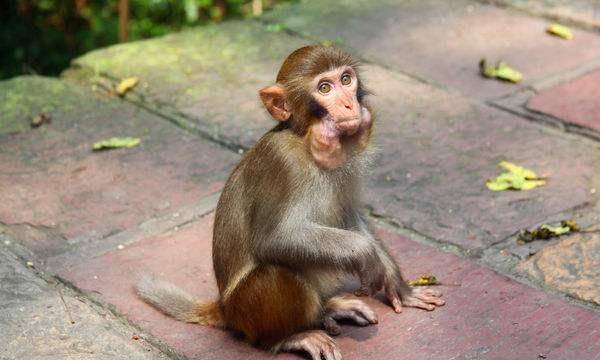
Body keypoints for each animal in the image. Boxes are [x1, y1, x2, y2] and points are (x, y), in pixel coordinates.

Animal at [137, 45, 446, 360]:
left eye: (346, 80)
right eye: (325, 88)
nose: (349, 105)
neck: (305, 142)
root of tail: (225, 309)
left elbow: (348, 216)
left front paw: (398, 285)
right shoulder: (281, 162)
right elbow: (274, 239)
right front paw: (366, 255)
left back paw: (330, 308)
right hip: (247, 310)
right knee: (277, 273)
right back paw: (290, 337)